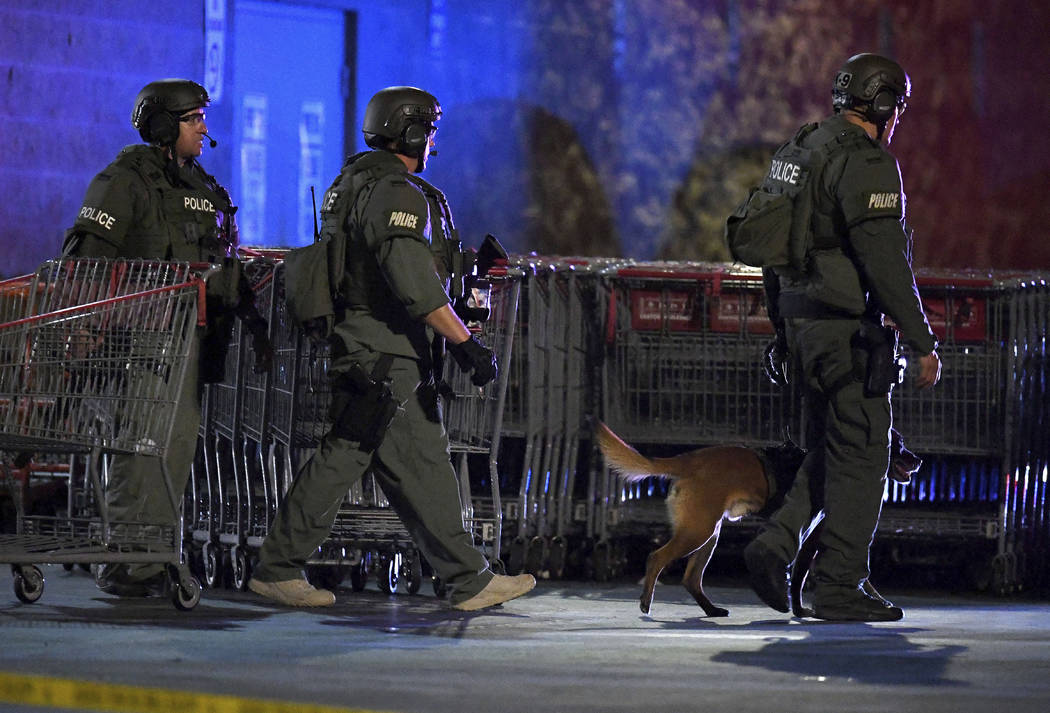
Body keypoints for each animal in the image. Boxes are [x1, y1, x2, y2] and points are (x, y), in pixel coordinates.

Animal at [596, 422, 923, 617]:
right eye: (898, 446)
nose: (918, 460)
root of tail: (690, 459)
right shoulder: (811, 541)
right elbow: (800, 579)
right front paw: (801, 611)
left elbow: (863, 579)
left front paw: (879, 602)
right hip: (698, 531)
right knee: (656, 557)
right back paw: (646, 601)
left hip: (709, 533)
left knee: (691, 578)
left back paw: (712, 610)